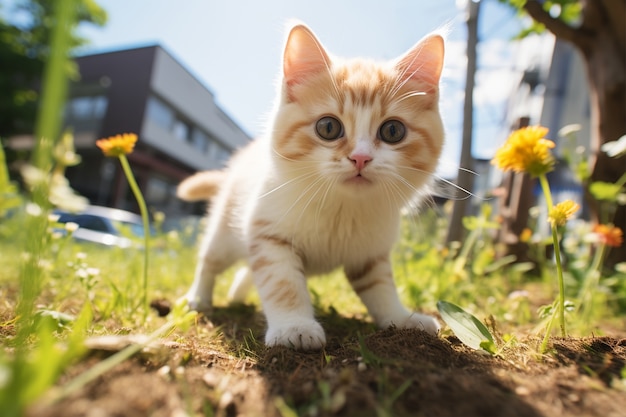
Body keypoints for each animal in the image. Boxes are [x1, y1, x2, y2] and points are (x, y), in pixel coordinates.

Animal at [177, 22, 444, 348]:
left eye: (393, 131)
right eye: (328, 127)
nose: (360, 158)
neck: (342, 207)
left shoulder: (371, 253)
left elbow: (380, 287)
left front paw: (402, 318)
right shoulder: (269, 235)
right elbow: (282, 282)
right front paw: (294, 328)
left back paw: (237, 293)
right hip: (226, 230)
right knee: (210, 260)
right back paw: (198, 297)